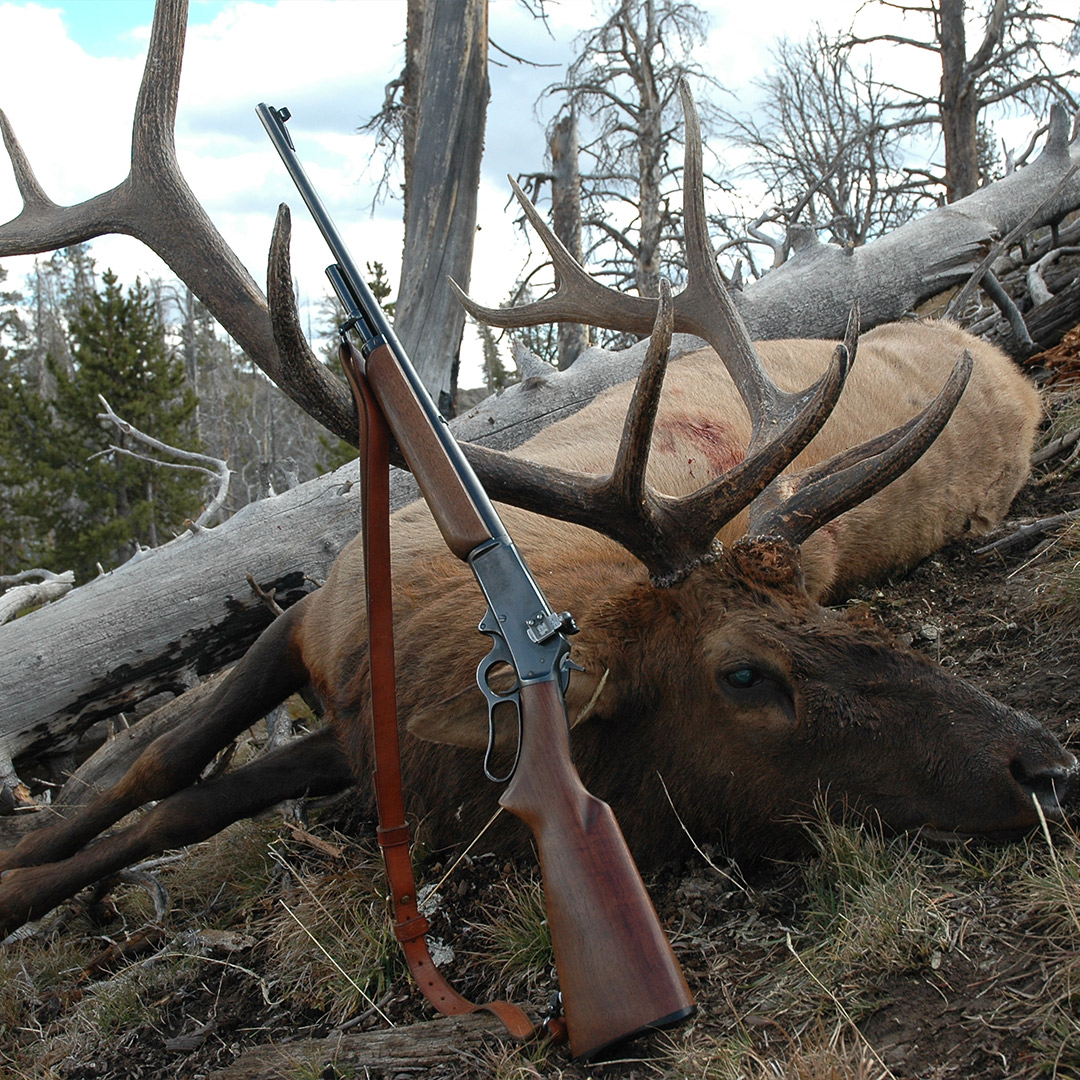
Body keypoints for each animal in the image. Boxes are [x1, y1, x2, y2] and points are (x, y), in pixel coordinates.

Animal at [0, 0, 1075, 938]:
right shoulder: (309, 617)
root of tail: (1000, 361)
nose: (1045, 765)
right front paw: (26, 870)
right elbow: (162, 770)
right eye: (745, 672)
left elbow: (181, 801)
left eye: (838, 616)